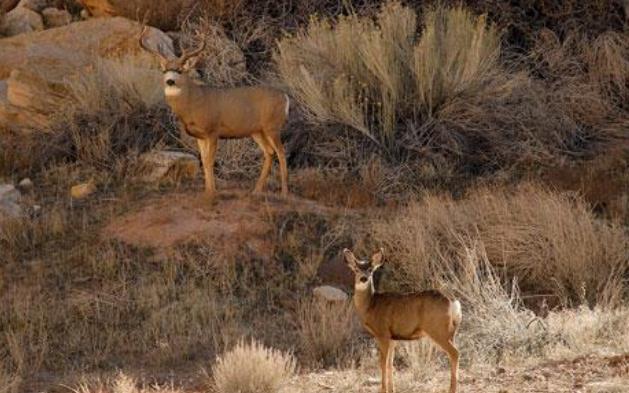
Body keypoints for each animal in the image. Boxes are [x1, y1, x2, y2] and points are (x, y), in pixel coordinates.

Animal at [139, 26, 288, 195]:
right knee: (269, 152)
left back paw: (284, 192)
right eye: (164, 71)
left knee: (281, 153)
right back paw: (256, 190)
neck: (194, 102)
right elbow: (204, 161)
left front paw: (212, 192)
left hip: (273, 126)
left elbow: (210, 161)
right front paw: (207, 190)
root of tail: (285, 97)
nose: (170, 81)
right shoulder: (199, 136)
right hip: (257, 131)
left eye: (180, 70)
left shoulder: (213, 130)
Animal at [344, 248, 462, 392]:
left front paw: (383, 390)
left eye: (371, 269)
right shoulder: (392, 338)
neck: (371, 305)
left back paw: (452, 389)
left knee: (455, 353)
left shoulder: (382, 333)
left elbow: (382, 363)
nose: (363, 278)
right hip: (451, 332)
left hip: (437, 329)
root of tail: (452, 303)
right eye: (356, 269)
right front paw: (392, 390)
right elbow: (390, 364)